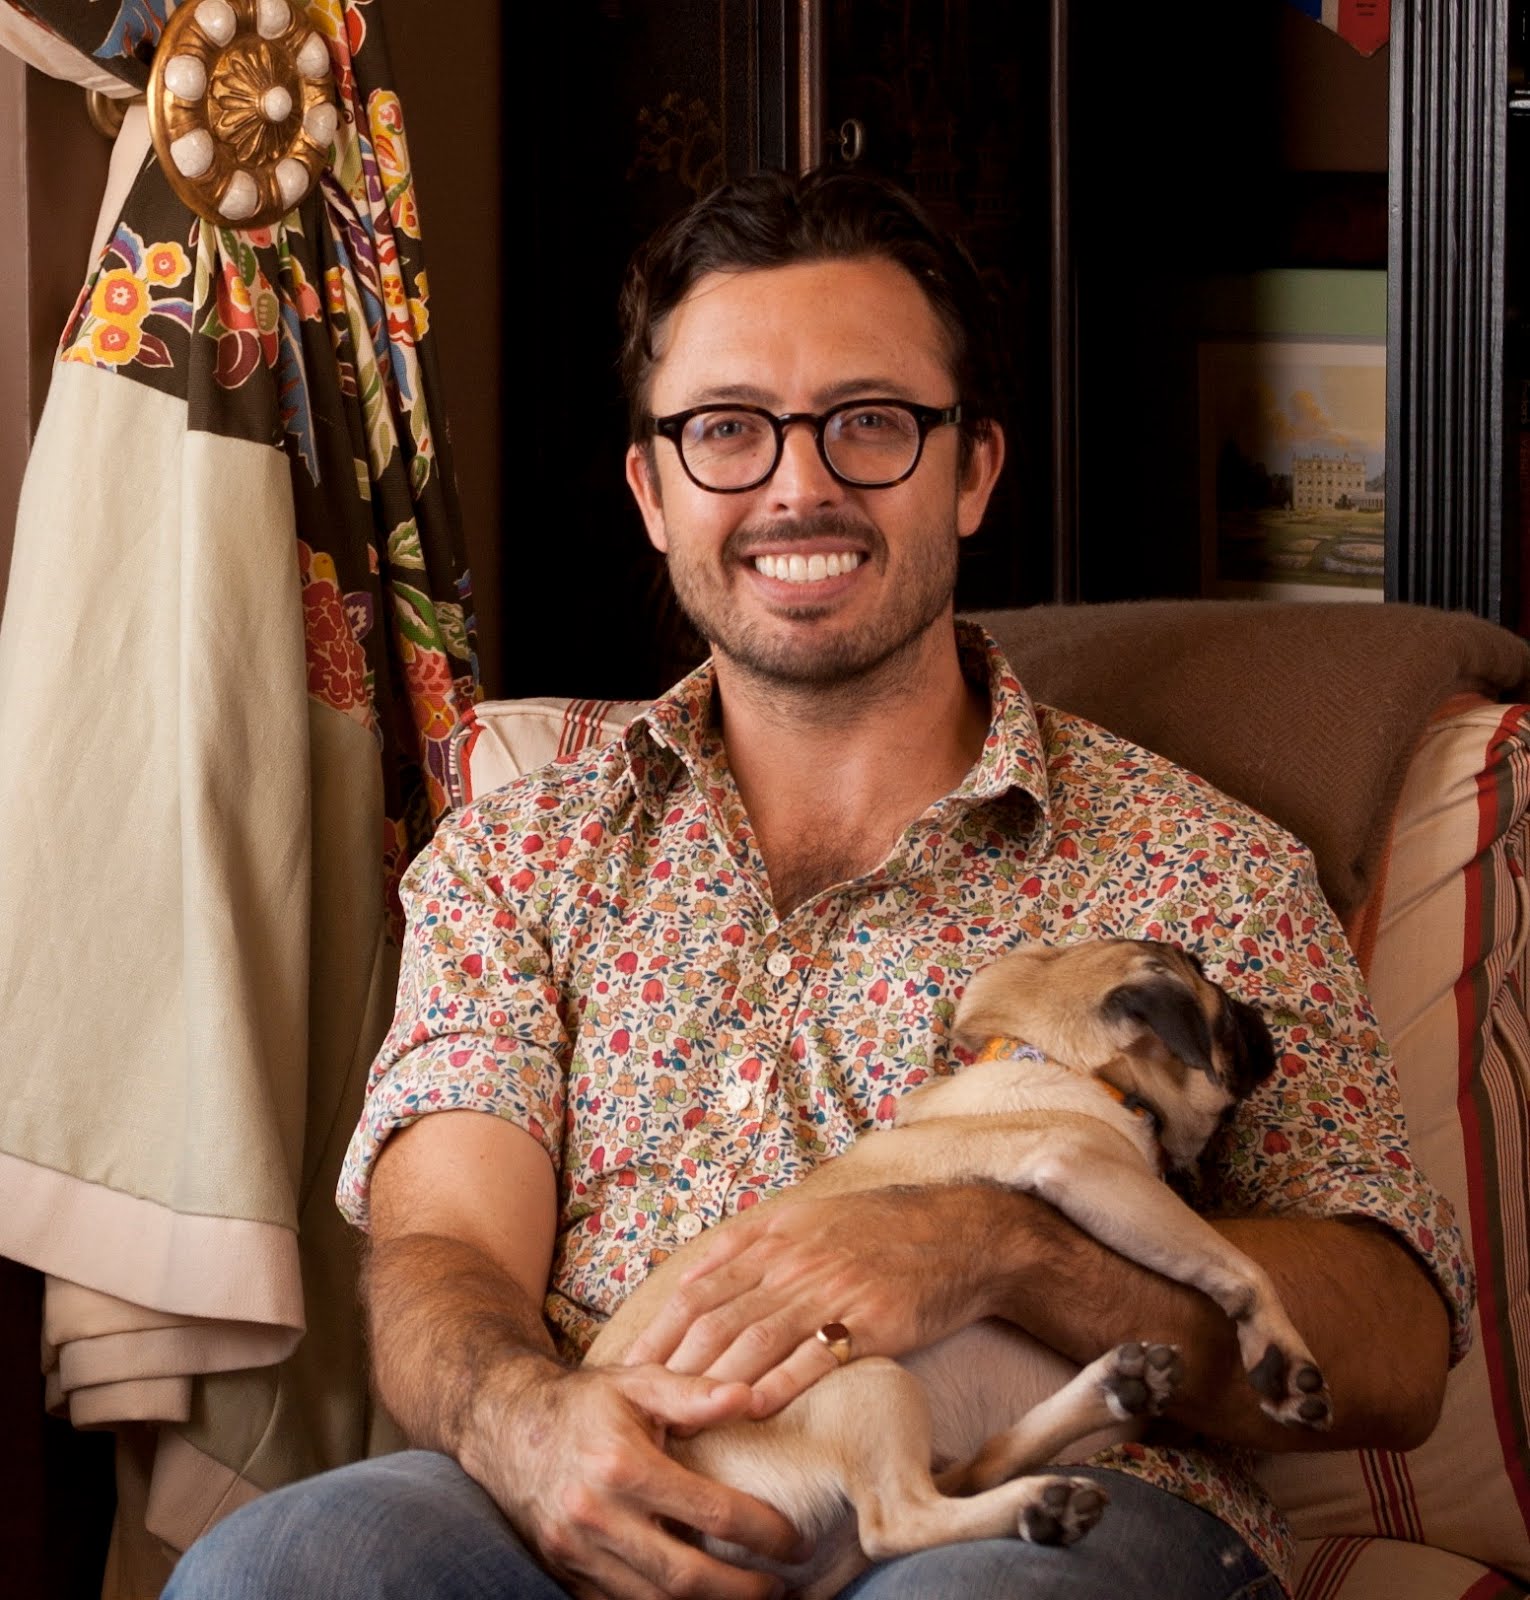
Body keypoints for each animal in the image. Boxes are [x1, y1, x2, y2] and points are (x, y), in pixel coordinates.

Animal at [585, 939, 1333, 1597]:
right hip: (864, 1380)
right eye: (1221, 1006)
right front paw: (1282, 1358)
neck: (1067, 1063)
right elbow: (1238, 1268)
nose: (1264, 1021)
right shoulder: (1093, 1171)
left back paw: (1106, 1399)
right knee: (899, 1520)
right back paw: (1040, 1501)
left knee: (975, 1471)